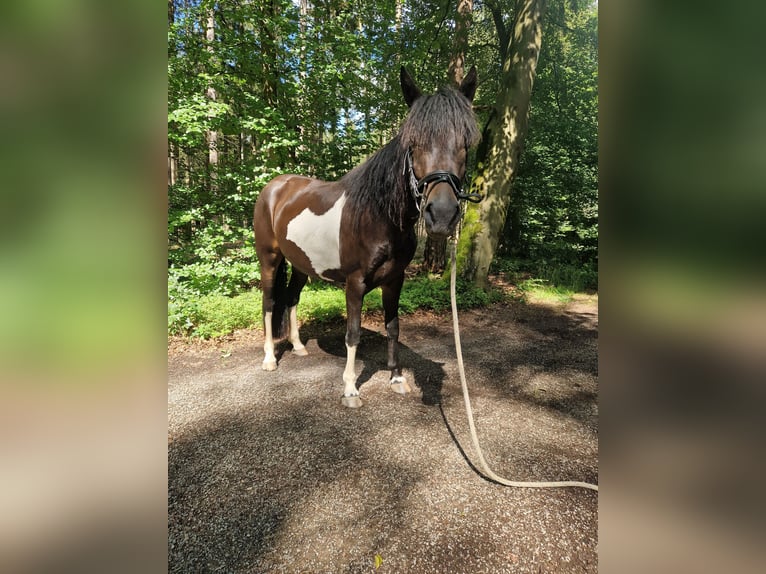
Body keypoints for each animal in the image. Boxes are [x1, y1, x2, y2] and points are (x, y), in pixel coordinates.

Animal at [252, 66, 480, 410]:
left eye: (465, 142)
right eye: (413, 143)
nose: (441, 215)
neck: (379, 216)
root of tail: (275, 187)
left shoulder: (395, 280)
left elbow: (394, 327)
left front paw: (397, 379)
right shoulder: (355, 282)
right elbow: (353, 334)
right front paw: (350, 389)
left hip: (301, 265)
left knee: (291, 298)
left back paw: (298, 346)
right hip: (269, 258)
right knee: (268, 302)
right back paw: (269, 358)